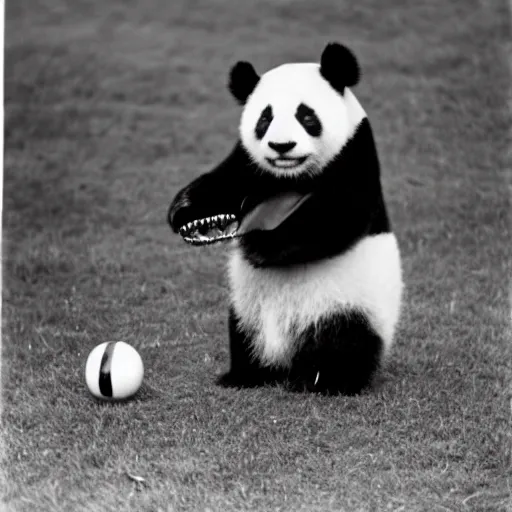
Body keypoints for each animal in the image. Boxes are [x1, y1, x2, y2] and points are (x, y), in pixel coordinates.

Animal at [168, 43, 404, 396]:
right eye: (264, 119)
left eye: (306, 116)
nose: (282, 147)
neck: (290, 178)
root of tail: (285, 359)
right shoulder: (248, 164)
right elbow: (223, 183)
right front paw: (183, 211)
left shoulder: (354, 155)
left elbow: (334, 219)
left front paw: (261, 245)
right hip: (247, 307)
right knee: (243, 337)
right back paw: (244, 376)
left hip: (348, 305)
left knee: (344, 343)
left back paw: (323, 382)